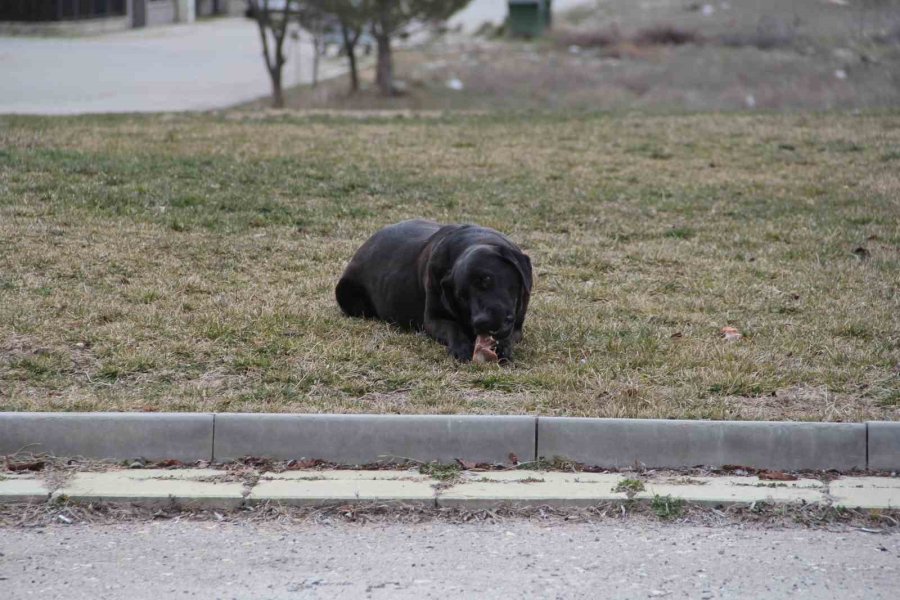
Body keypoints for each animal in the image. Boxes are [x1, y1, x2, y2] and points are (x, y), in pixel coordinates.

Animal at [338, 220, 536, 360]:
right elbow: (452, 328)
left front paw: (502, 347)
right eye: (461, 297)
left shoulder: (518, 326)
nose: (481, 322)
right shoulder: (432, 319)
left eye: (486, 279)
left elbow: (510, 335)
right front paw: (461, 348)